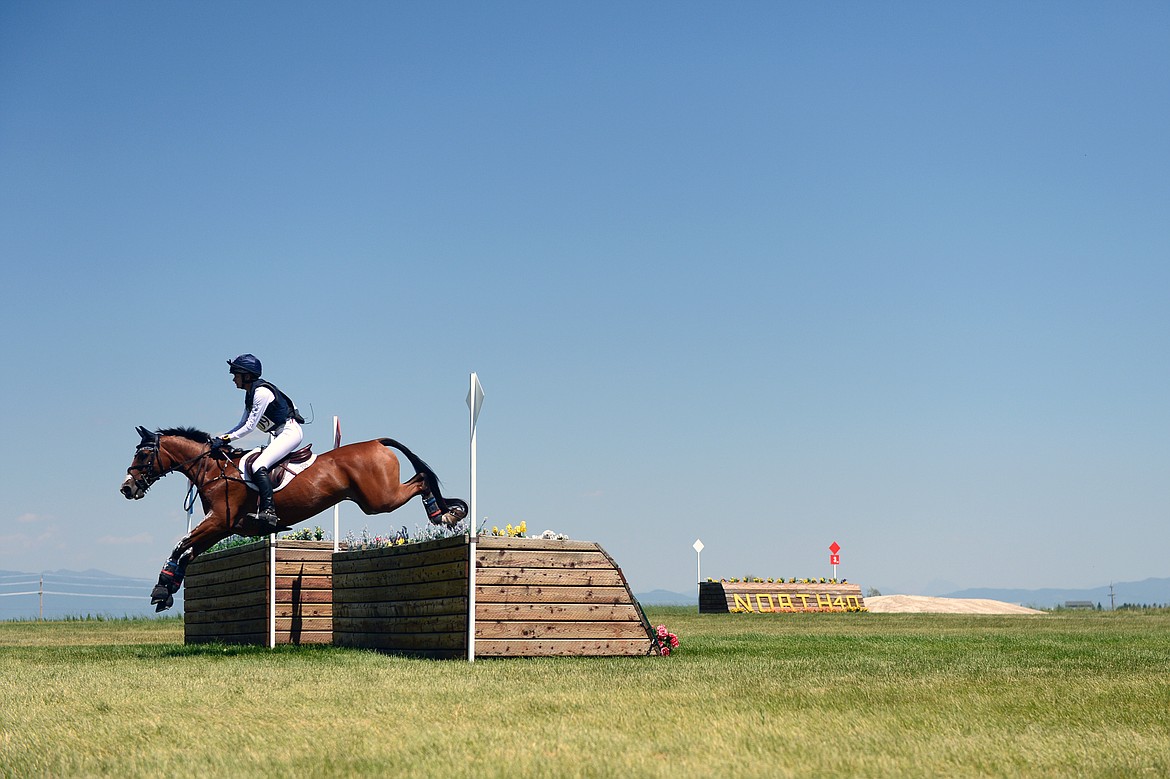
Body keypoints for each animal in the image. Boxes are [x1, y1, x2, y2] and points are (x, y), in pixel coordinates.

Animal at [118, 428, 465, 608]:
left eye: (143, 454)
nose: (126, 487)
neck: (216, 470)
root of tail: (377, 442)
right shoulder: (222, 527)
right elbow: (188, 553)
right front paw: (166, 590)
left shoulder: (218, 522)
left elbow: (180, 546)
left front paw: (161, 589)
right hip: (375, 498)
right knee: (420, 478)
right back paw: (446, 513)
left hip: (380, 499)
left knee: (421, 479)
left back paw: (445, 514)